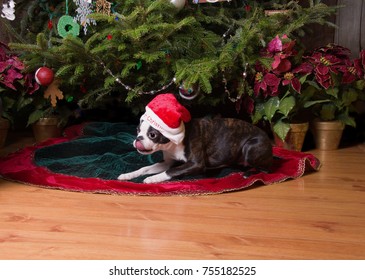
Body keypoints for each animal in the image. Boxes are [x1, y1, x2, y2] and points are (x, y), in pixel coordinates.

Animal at [117, 94, 272, 184]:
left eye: (153, 135)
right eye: (137, 130)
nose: (138, 139)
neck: (173, 144)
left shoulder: (196, 164)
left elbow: (171, 171)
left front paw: (152, 178)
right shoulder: (167, 162)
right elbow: (145, 168)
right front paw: (127, 175)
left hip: (250, 147)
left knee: (266, 169)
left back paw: (247, 174)